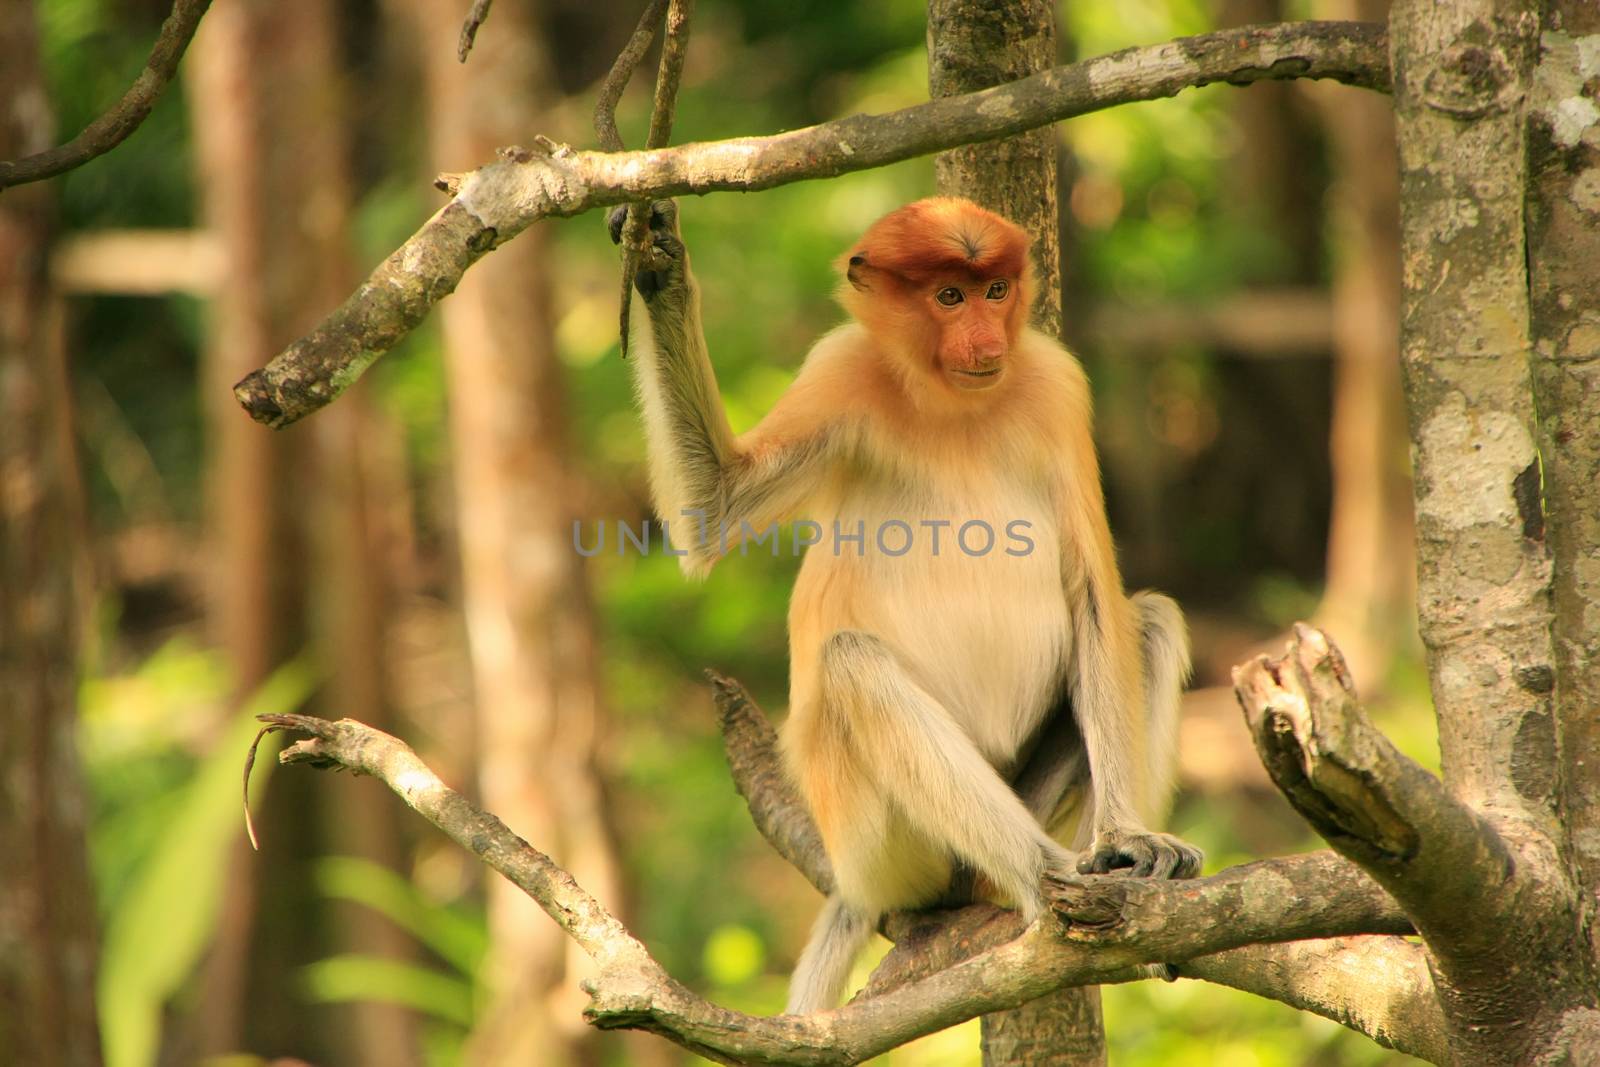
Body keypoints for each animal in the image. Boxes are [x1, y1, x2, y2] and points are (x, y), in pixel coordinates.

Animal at [611, 198, 1203, 1017]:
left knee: (1147, 622)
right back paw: (1046, 875)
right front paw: (660, 263)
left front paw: (1127, 837)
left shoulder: (1056, 384)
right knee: (850, 661)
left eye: (994, 290)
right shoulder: (840, 371)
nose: (987, 341)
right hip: (880, 848)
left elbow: (1091, 594)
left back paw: (1097, 863)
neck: (952, 400)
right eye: (948, 297)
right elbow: (714, 507)